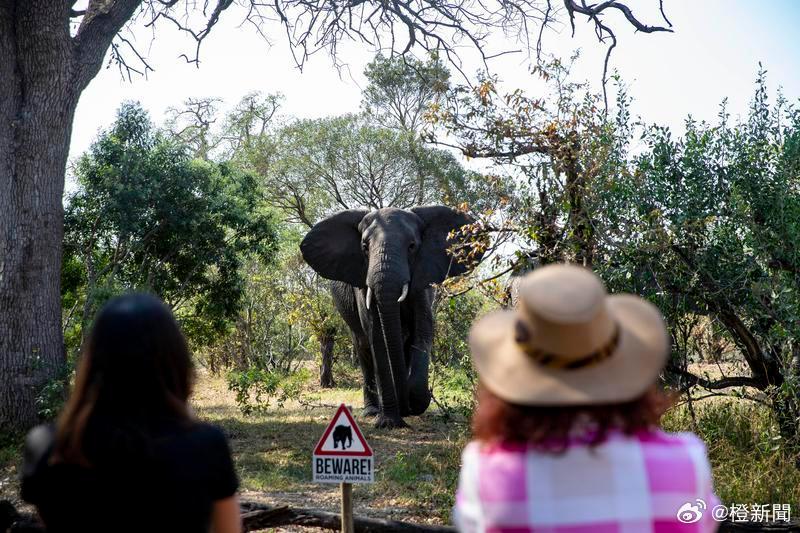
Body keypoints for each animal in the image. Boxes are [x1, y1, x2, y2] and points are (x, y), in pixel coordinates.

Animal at [298, 206, 476, 426]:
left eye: (412, 246)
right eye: (365, 247)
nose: (406, 408)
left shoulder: (423, 280)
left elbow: (423, 330)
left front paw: (414, 399)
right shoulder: (363, 284)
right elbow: (377, 337)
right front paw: (389, 422)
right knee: (363, 346)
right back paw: (373, 411)